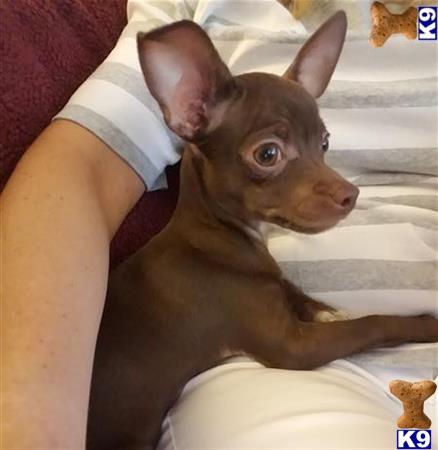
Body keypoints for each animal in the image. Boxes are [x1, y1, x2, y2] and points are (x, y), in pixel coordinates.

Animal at [86, 11, 438, 450]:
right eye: (268, 154)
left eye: (324, 142)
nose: (350, 194)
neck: (222, 237)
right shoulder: (293, 347)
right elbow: (371, 323)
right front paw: (422, 325)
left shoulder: (281, 295)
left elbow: (305, 296)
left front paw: (328, 310)